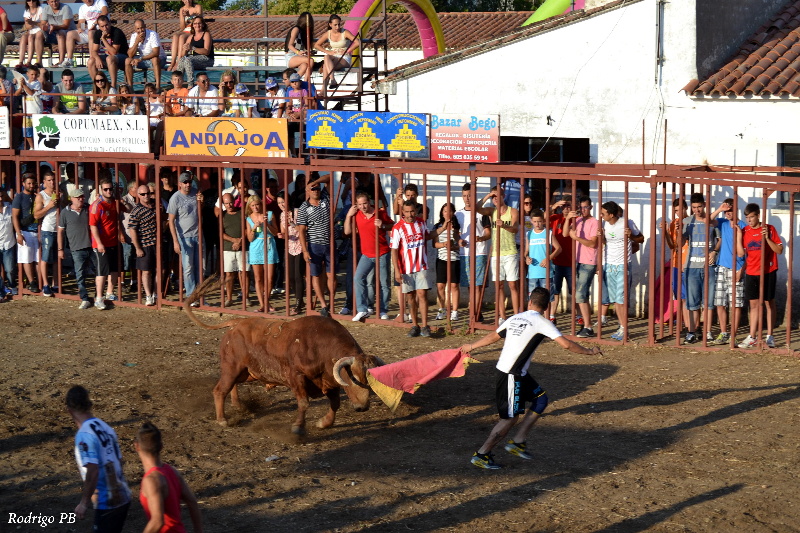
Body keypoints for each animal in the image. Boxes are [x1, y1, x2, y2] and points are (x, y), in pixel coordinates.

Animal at [185, 276, 384, 434]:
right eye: (353, 378)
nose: (362, 407)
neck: (321, 345)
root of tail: (236, 323)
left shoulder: (329, 380)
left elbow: (335, 403)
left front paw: (324, 423)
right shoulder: (296, 376)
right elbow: (303, 403)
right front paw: (298, 427)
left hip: (246, 372)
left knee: (232, 386)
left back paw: (238, 406)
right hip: (231, 368)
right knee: (220, 390)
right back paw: (222, 419)